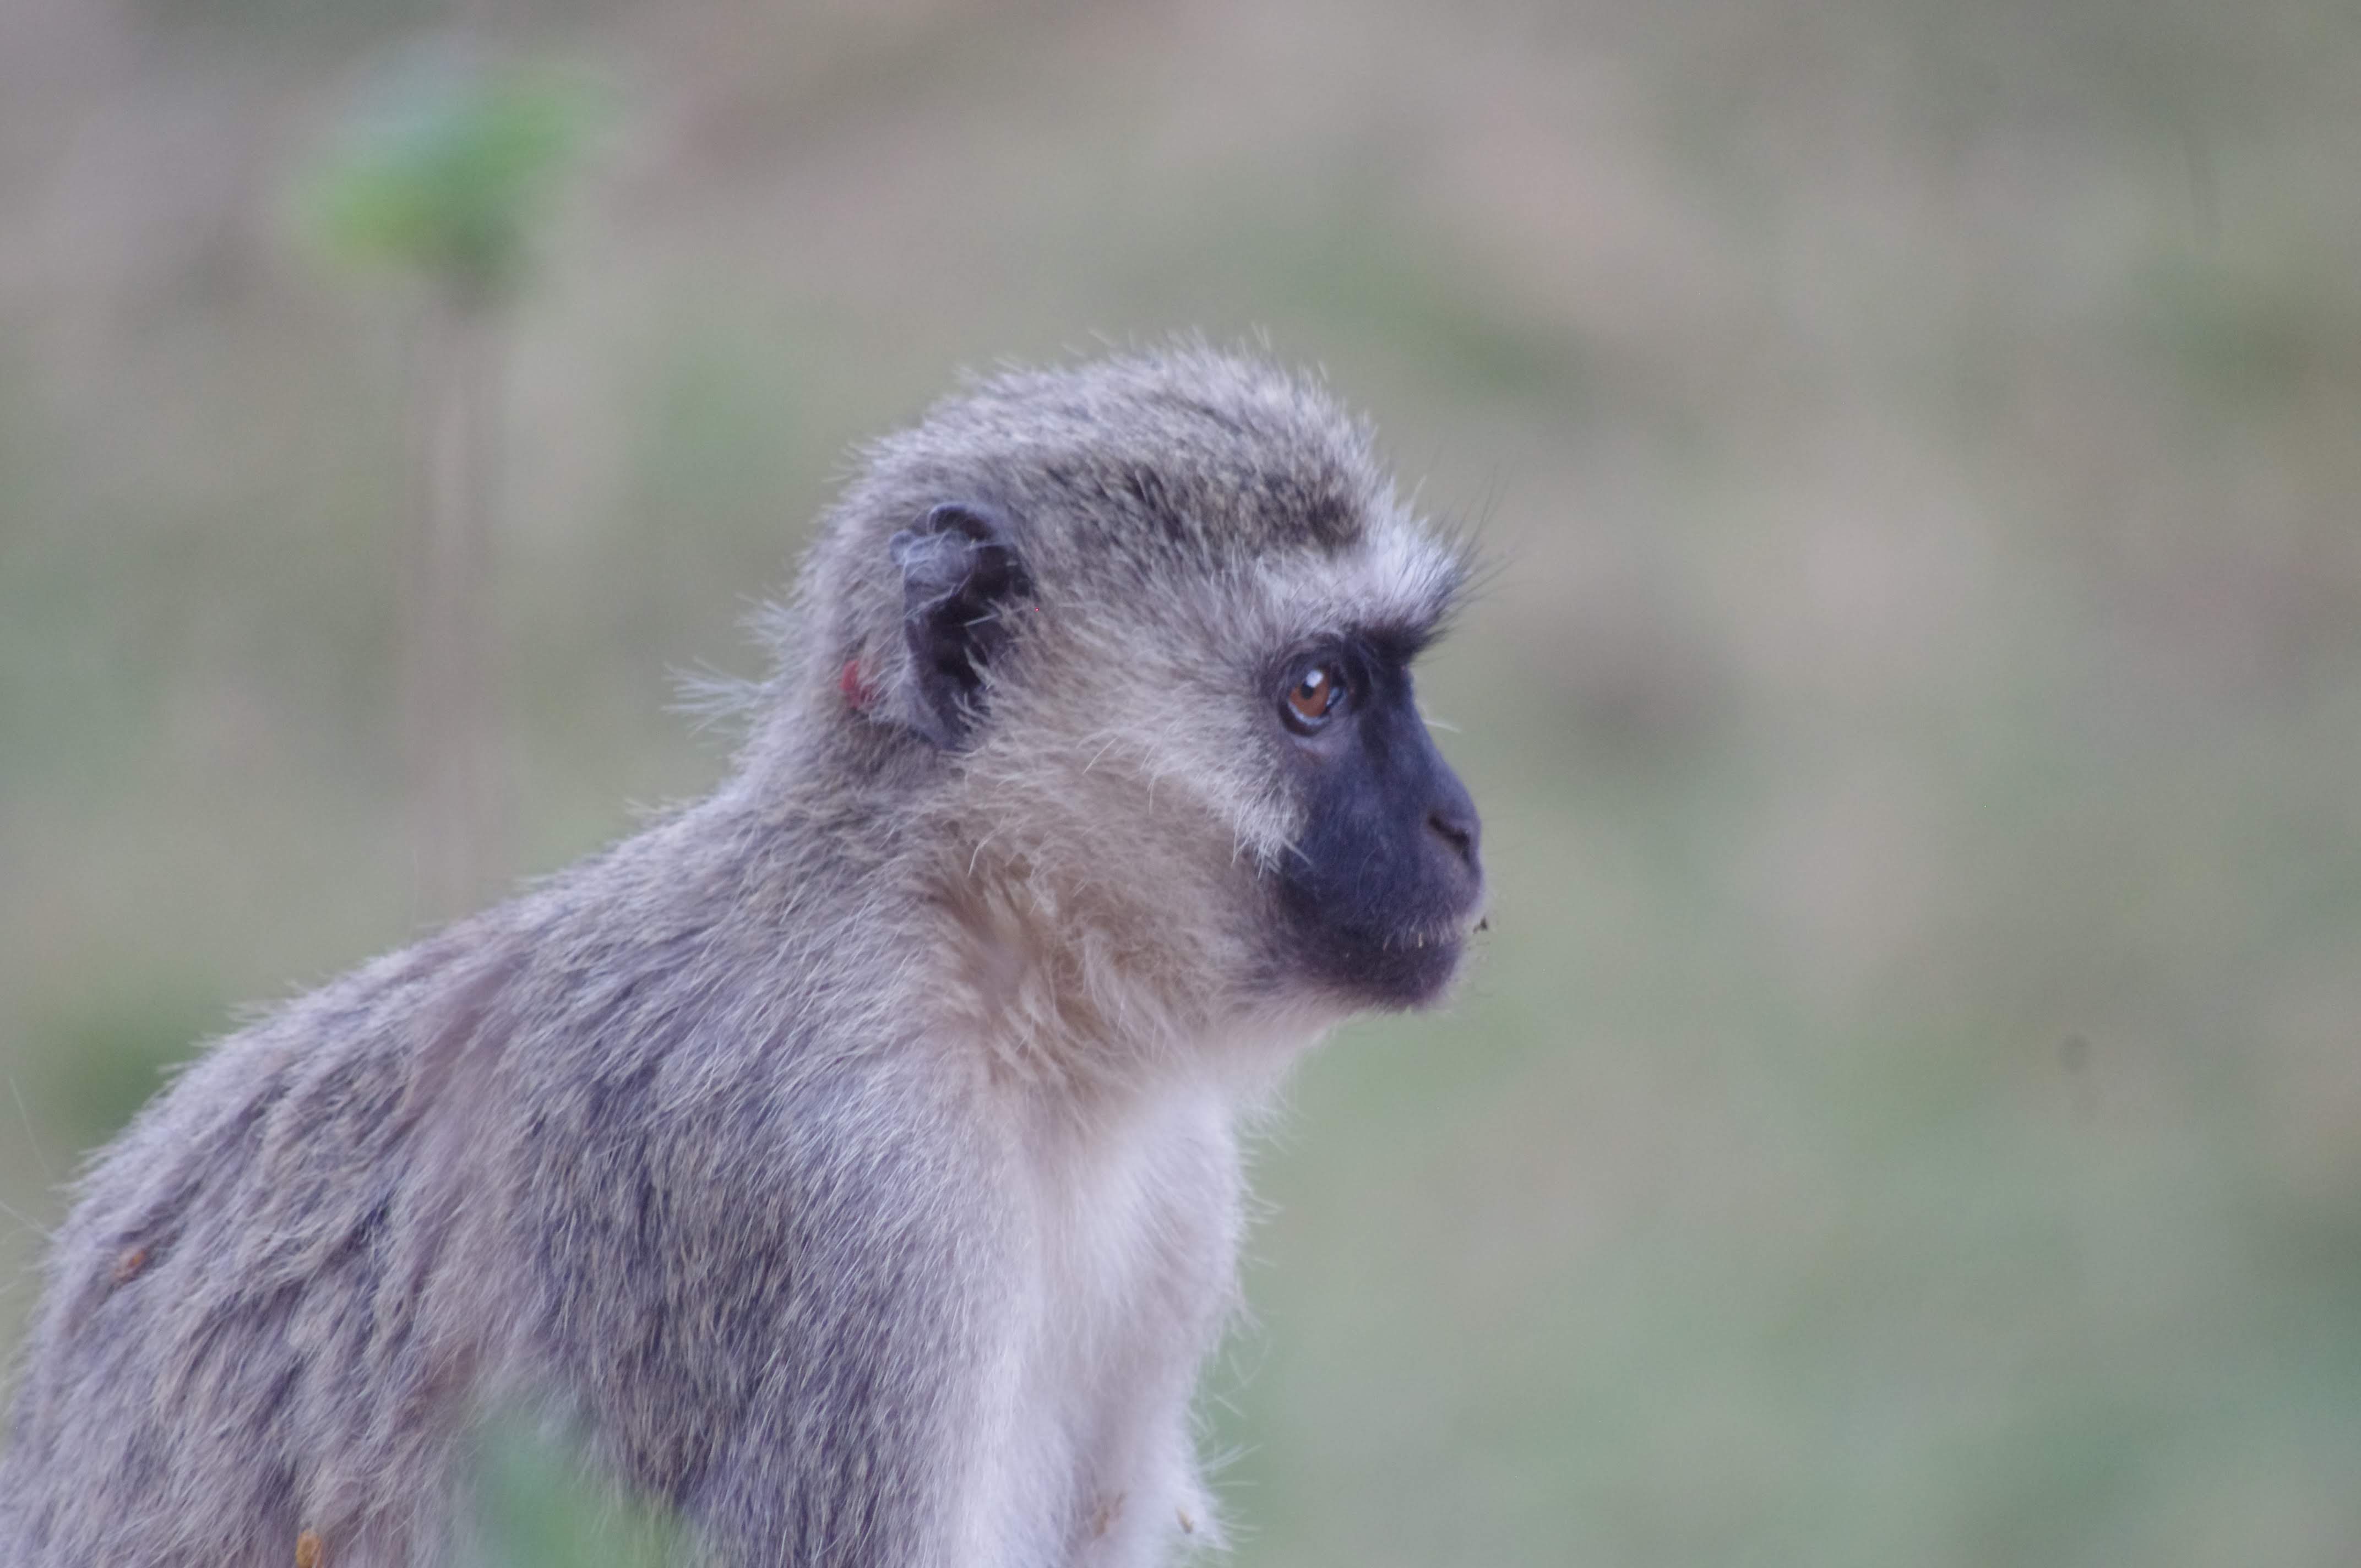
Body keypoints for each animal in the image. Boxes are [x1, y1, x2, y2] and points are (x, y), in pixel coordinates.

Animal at [0, 344, 1485, 1567]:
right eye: (1315, 693)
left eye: (1381, 679)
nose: (1460, 825)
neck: (998, 993)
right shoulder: (844, 1207)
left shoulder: (1177, 1200)